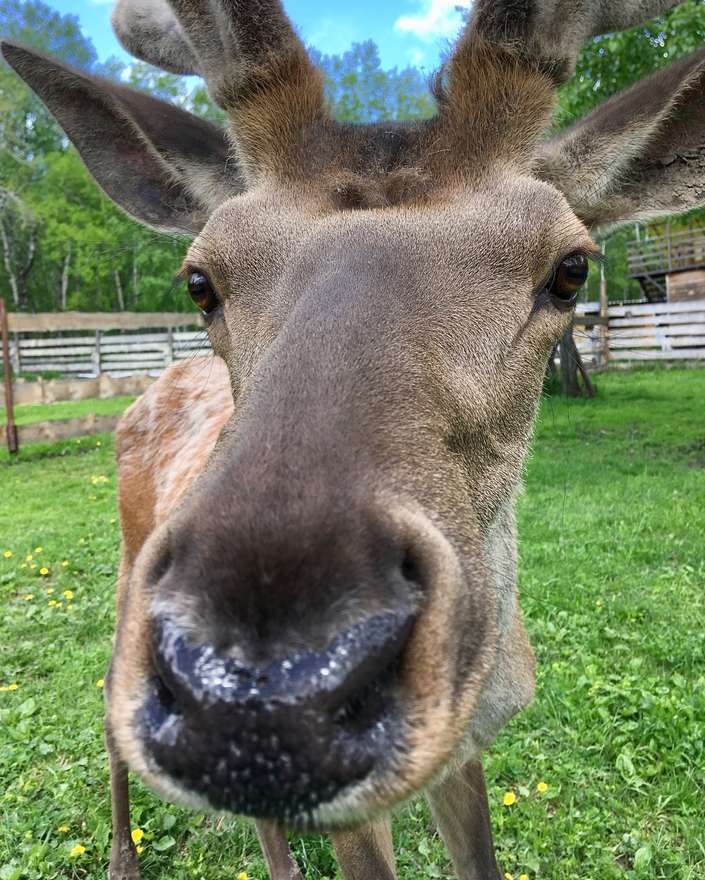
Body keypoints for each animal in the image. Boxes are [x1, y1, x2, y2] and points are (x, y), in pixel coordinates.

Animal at [2, 0, 700, 876]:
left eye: (571, 268)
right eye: (199, 280)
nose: (259, 693)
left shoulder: (467, 747)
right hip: (128, 568)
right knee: (103, 698)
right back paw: (123, 858)